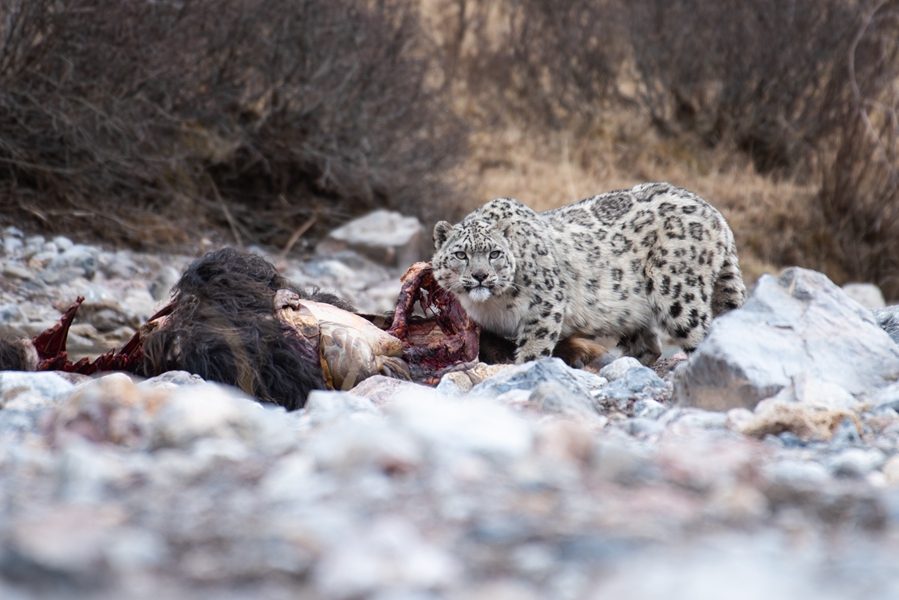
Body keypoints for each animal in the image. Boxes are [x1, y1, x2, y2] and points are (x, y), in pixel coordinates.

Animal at [432, 180, 748, 364]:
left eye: (495, 253)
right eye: (461, 254)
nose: (481, 276)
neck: (491, 308)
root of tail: (713, 212)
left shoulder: (545, 303)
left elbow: (536, 345)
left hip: (679, 294)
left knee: (701, 334)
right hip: (630, 312)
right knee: (650, 347)